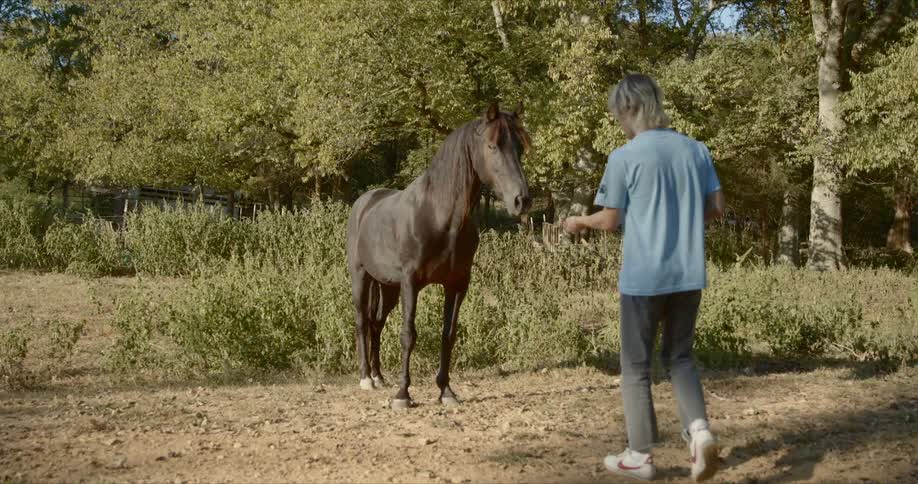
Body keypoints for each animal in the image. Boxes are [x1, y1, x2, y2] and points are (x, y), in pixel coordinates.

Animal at [346, 101, 532, 409]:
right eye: (492, 145)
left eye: (520, 147)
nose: (522, 200)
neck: (439, 217)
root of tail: (364, 202)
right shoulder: (411, 283)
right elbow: (408, 335)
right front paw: (403, 395)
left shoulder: (456, 284)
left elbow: (448, 334)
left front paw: (446, 391)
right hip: (361, 277)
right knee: (362, 322)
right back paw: (366, 379)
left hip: (388, 287)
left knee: (377, 324)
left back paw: (379, 376)